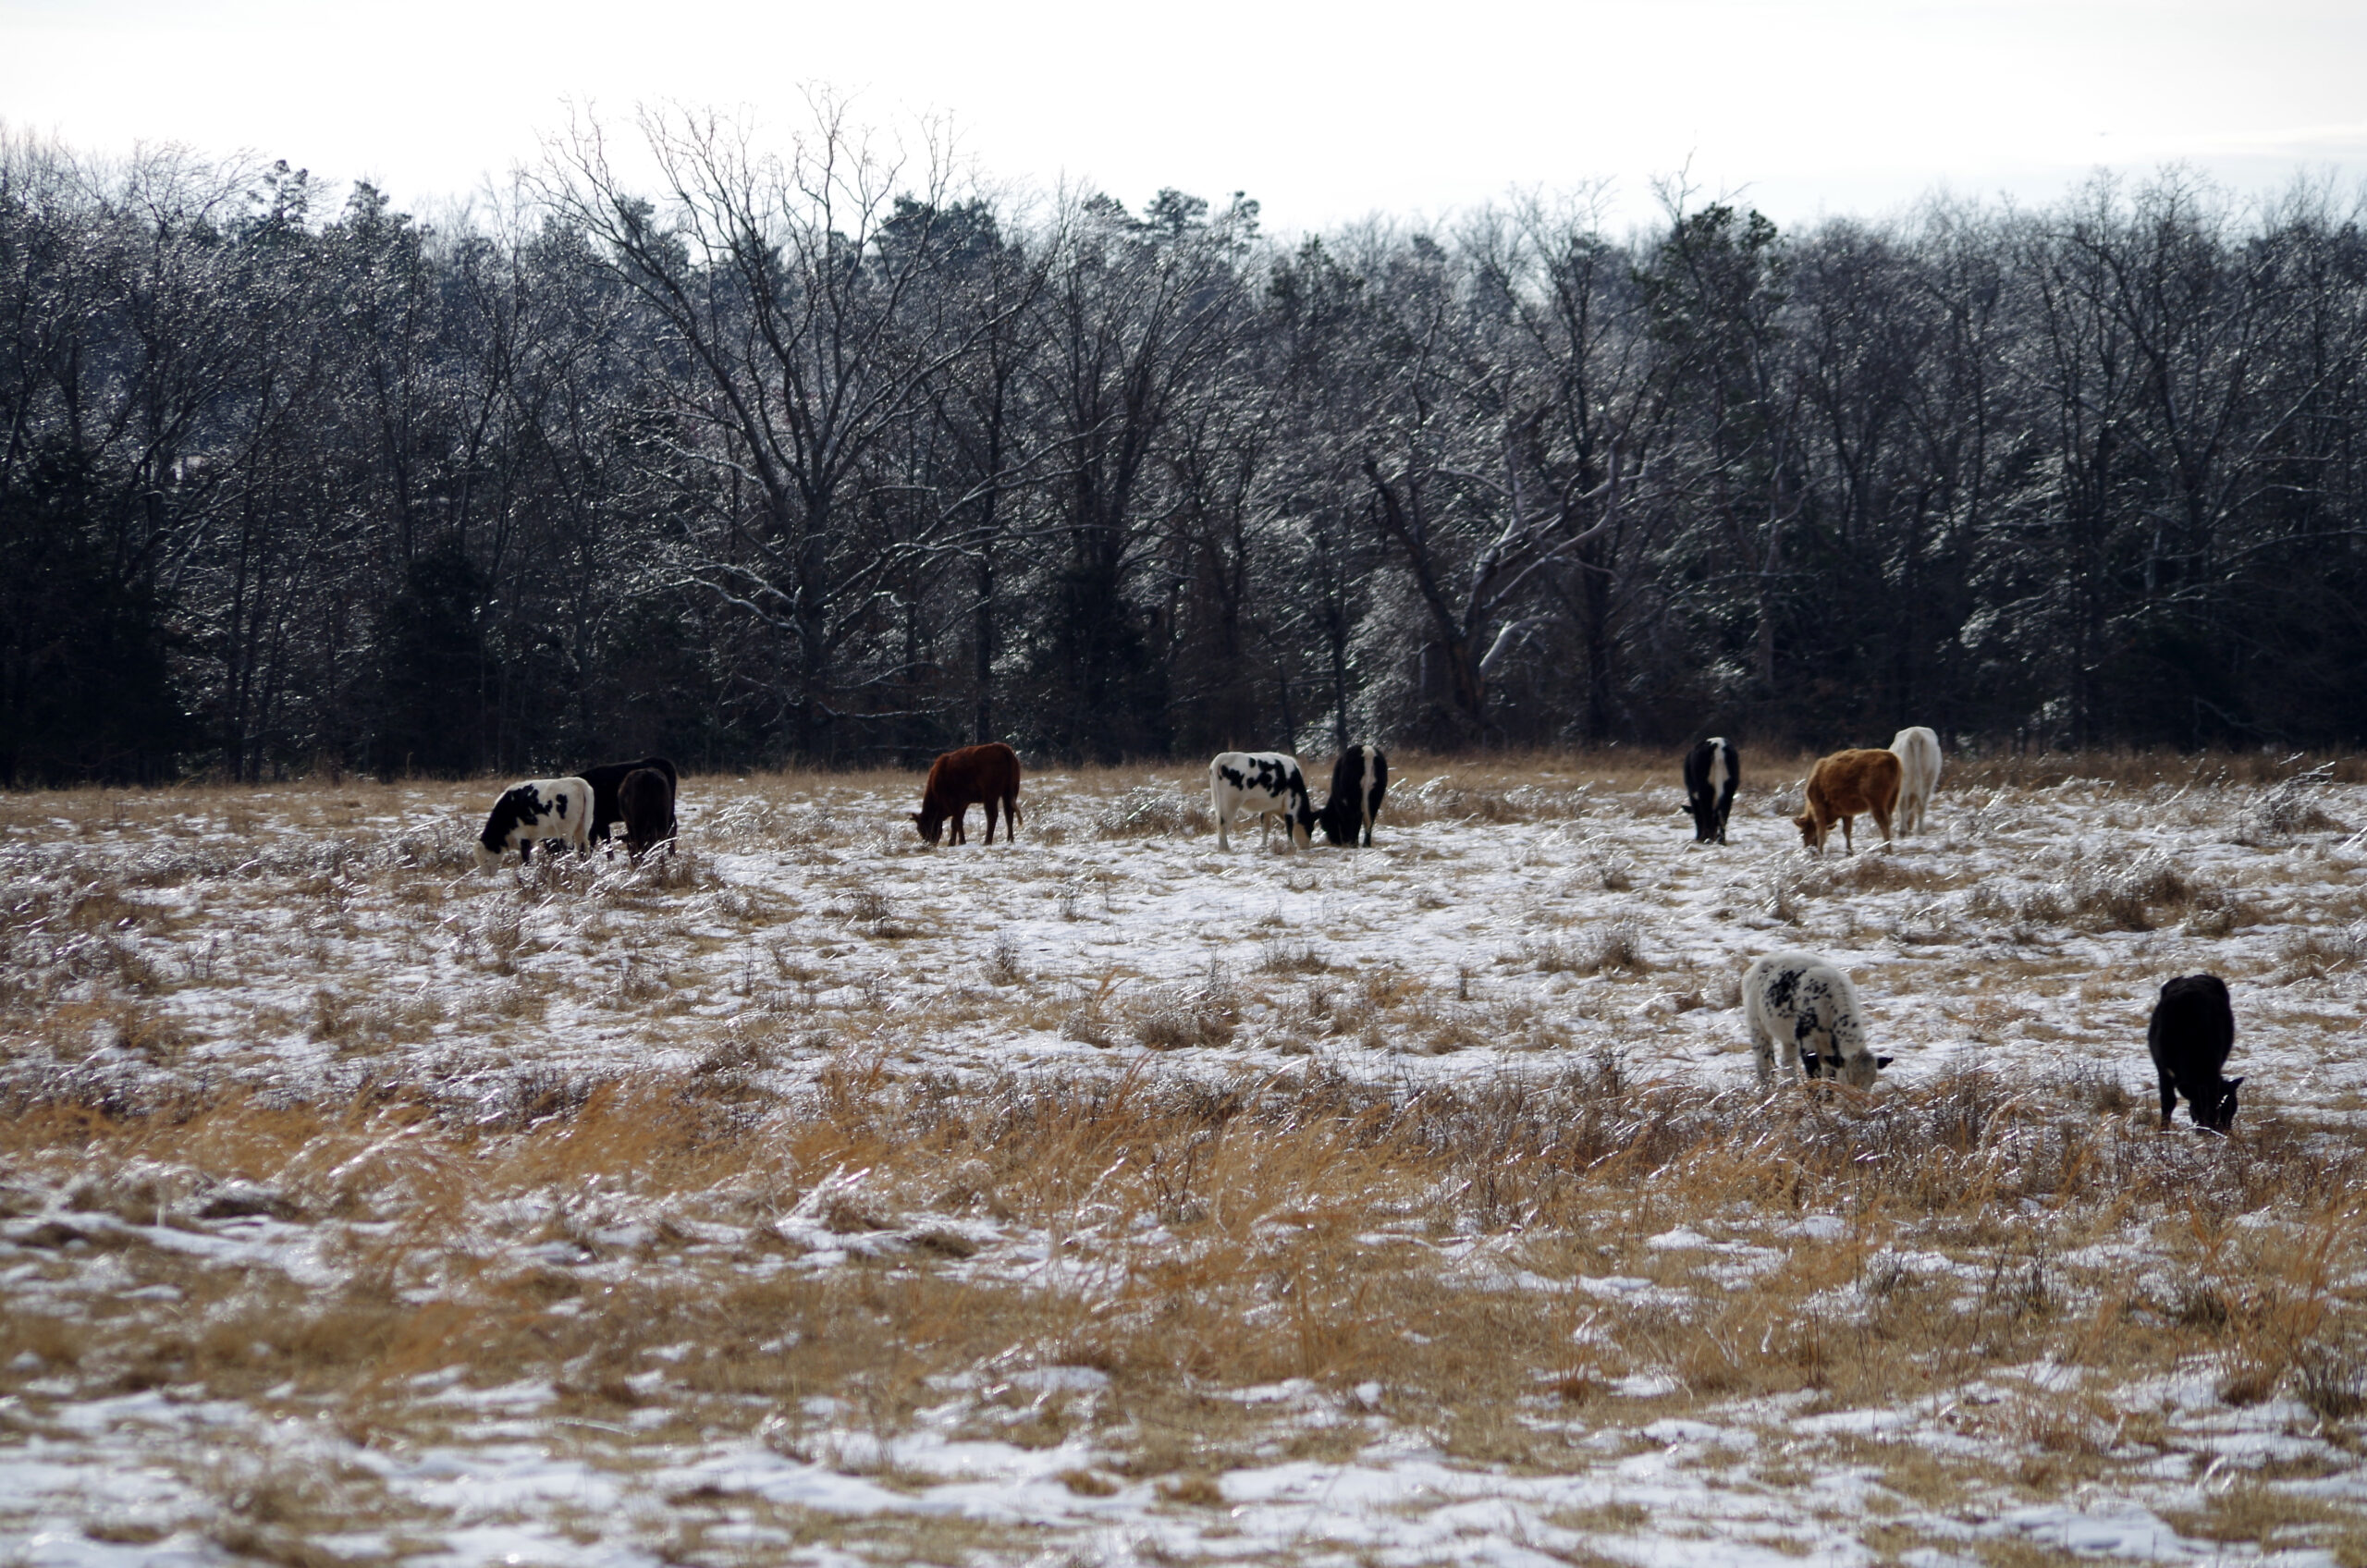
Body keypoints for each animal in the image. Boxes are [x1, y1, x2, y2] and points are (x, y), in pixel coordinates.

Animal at [473, 777, 596, 871]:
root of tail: (574, 781)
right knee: (583, 848)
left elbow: (525, 859)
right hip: (581, 828)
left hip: (565, 830)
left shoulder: (522, 837)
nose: (486, 874)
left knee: (568, 848)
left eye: (485, 859)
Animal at [1751, 951, 1894, 1089]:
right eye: (1849, 1077)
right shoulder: (1807, 1042)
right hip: (1756, 1026)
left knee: (1788, 1062)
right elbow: (1814, 1075)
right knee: (1763, 1063)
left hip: (1788, 1037)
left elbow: (1830, 1078)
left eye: (1873, 1080)